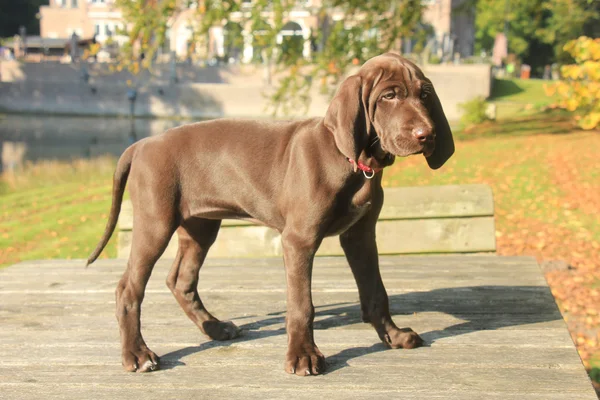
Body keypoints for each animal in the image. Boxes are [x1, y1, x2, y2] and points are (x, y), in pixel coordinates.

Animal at [88, 52, 454, 376]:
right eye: (389, 96)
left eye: (424, 94)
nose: (427, 135)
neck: (353, 163)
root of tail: (142, 143)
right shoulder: (299, 240)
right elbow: (302, 305)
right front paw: (303, 356)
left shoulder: (360, 236)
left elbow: (376, 291)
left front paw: (392, 336)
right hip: (156, 223)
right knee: (129, 288)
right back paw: (138, 354)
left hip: (200, 226)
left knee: (181, 280)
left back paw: (214, 328)